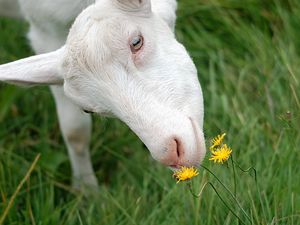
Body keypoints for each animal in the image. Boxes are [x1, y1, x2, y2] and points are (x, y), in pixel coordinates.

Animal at [0, 0, 206, 191]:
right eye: (88, 110)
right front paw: (86, 190)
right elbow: (75, 132)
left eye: (136, 42)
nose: (170, 153)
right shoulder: (44, 29)